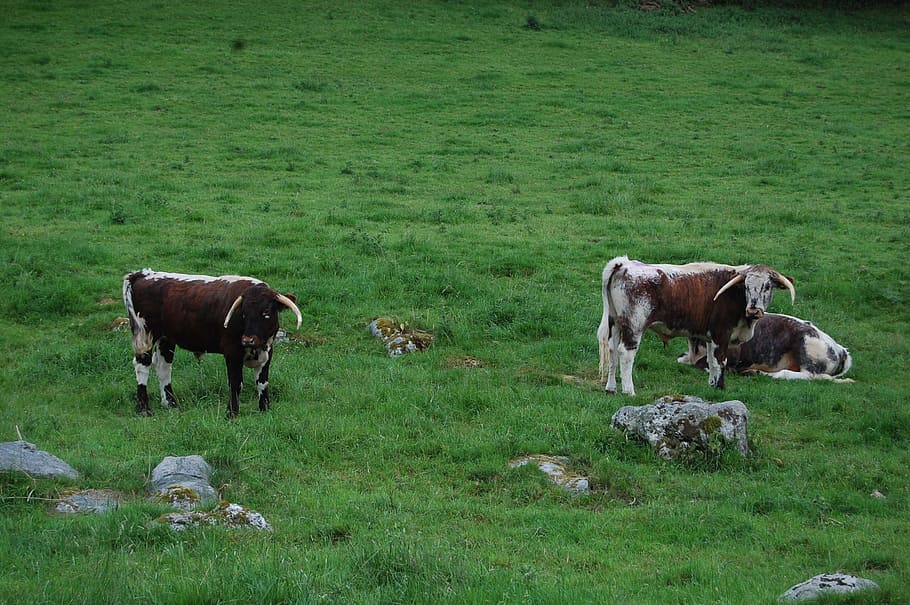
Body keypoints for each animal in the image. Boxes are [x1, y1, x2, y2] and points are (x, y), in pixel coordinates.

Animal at [122, 269, 302, 417]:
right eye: (243, 313)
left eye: (266, 312)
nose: (247, 340)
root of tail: (143, 274)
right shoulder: (232, 353)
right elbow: (235, 383)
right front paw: (232, 413)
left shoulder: (268, 352)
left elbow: (262, 382)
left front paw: (264, 409)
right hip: (145, 335)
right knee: (142, 365)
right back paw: (144, 409)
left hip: (166, 339)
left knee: (163, 368)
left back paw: (171, 404)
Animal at [597, 256, 795, 396]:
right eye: (746, 286)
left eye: (767, 286)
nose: (754, 310)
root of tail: (624, 264)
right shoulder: (721, 334)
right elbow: (720, 361)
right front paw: (720, 388)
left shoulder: (710, 337)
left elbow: (711, 362)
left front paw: (712, 386)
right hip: (634, 327)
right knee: (625, 353)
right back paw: (628, 391)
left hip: (615, 324)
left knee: (612, 351)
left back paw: (611, 388)